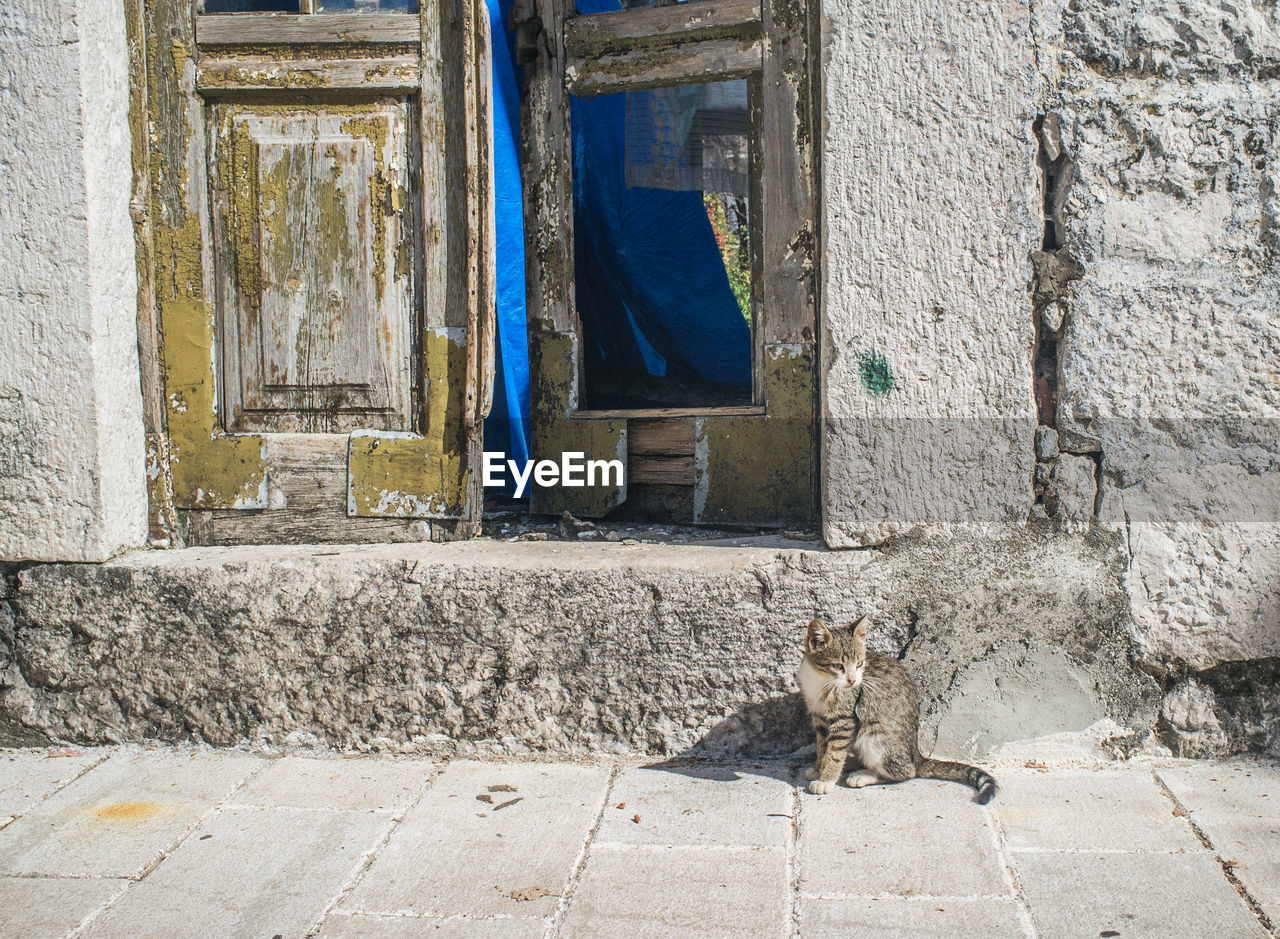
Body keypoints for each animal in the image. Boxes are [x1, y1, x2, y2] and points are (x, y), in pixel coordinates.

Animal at [798, 614, 998, 803]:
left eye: (859, 664)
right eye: (838, 666)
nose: (852, 681)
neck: (822, 681)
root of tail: (916, 754)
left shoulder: (845, 719)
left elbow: (835, 751)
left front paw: (826, 780)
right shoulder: (819, 717)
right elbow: (823, 746)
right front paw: (819, 768)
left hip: (875, 734)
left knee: (907, 771)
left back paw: (863, 776)